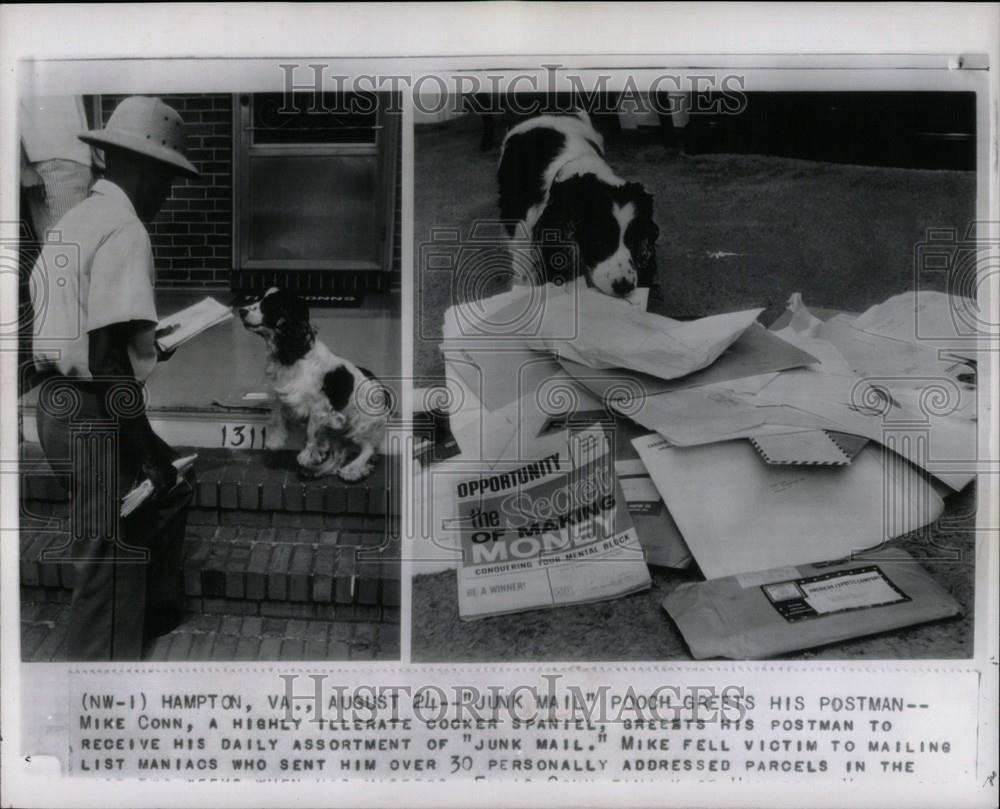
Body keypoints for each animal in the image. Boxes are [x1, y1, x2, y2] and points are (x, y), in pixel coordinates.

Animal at [236, 288, 388, 480]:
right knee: (338, 454)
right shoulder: (280, 394)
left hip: (362, 425)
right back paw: (319, 468)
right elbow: (276, 415)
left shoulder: (318, 406)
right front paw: (274, 440)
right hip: (341, 433)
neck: (295, 354)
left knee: (368, 448)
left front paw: (308, 455)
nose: (241, 310)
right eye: (258, 298)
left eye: (268, 305)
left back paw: (352, 469)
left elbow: (311, 431)